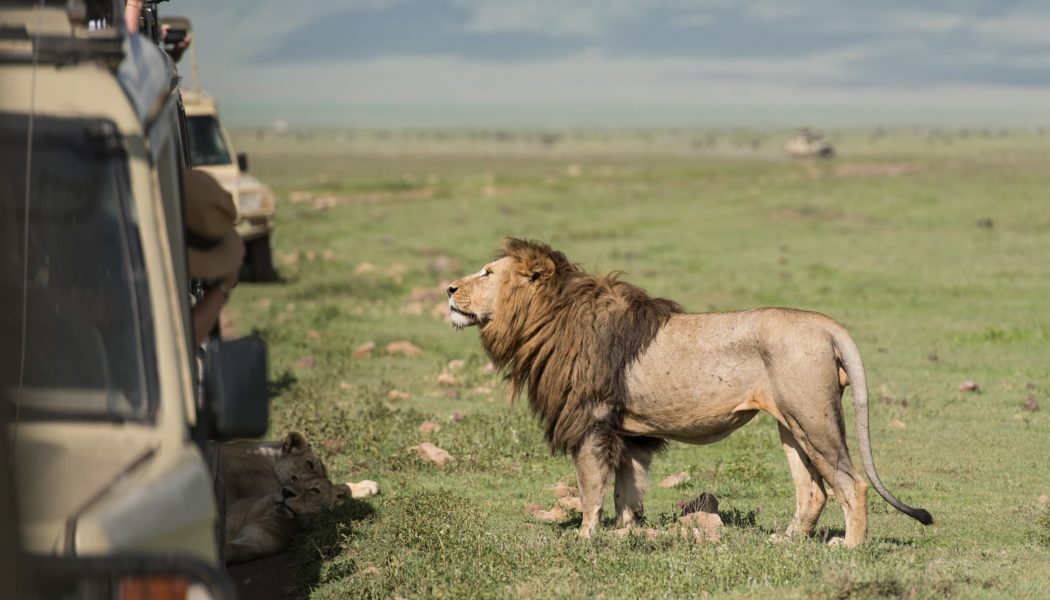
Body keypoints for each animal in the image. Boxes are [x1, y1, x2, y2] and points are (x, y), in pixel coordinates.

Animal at [447, 238, 932, 547]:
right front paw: (626, 533)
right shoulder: (629, 433)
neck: (546, 319)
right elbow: (627, 490)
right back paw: (788, 540)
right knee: (813, 490)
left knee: (852, 483)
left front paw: (585, 538)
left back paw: (850, 547)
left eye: (486, 273)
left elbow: (590, 488)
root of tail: (826, 324)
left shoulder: (591, 421)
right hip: (791, 424)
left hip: (813, 418)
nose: (449, 289)